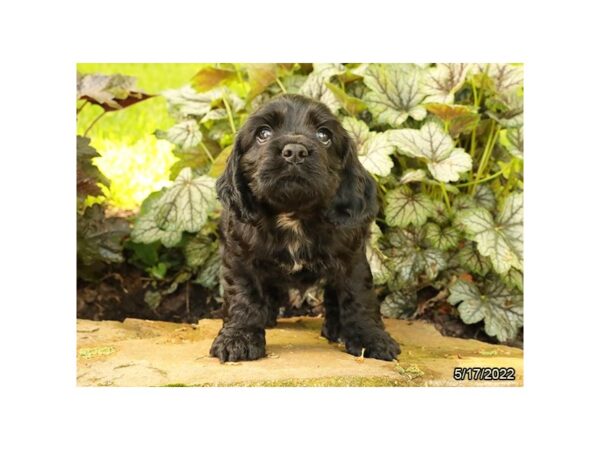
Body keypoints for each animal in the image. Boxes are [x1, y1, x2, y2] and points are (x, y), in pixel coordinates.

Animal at [209, 94, 400, 362]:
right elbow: (243, 297)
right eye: (263, 133)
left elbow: (358, 297)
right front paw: (238, 339)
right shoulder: (239, 257)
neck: (294, 214)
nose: (295, 152)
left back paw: (336, 329)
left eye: (324, 135)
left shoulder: (352, 258)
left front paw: (370, 339)